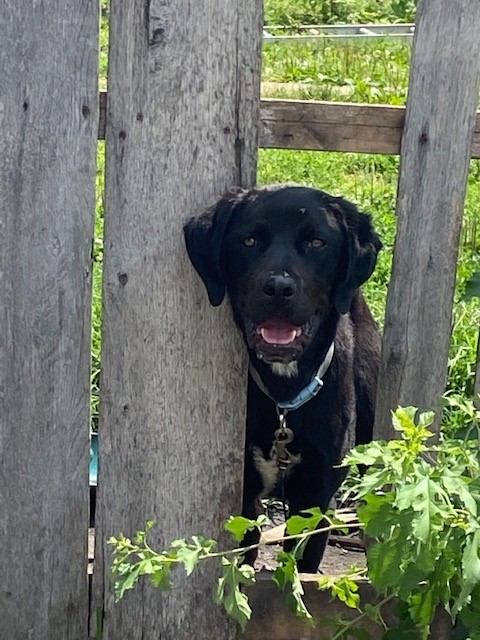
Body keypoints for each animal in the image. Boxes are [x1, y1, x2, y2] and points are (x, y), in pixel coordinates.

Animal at [184, 185, 382, 568]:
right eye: (249, 240)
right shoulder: (244, 493)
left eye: (317, 242)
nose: (278, 287)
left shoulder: (315, 497)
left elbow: (303, 568)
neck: (283, 395)